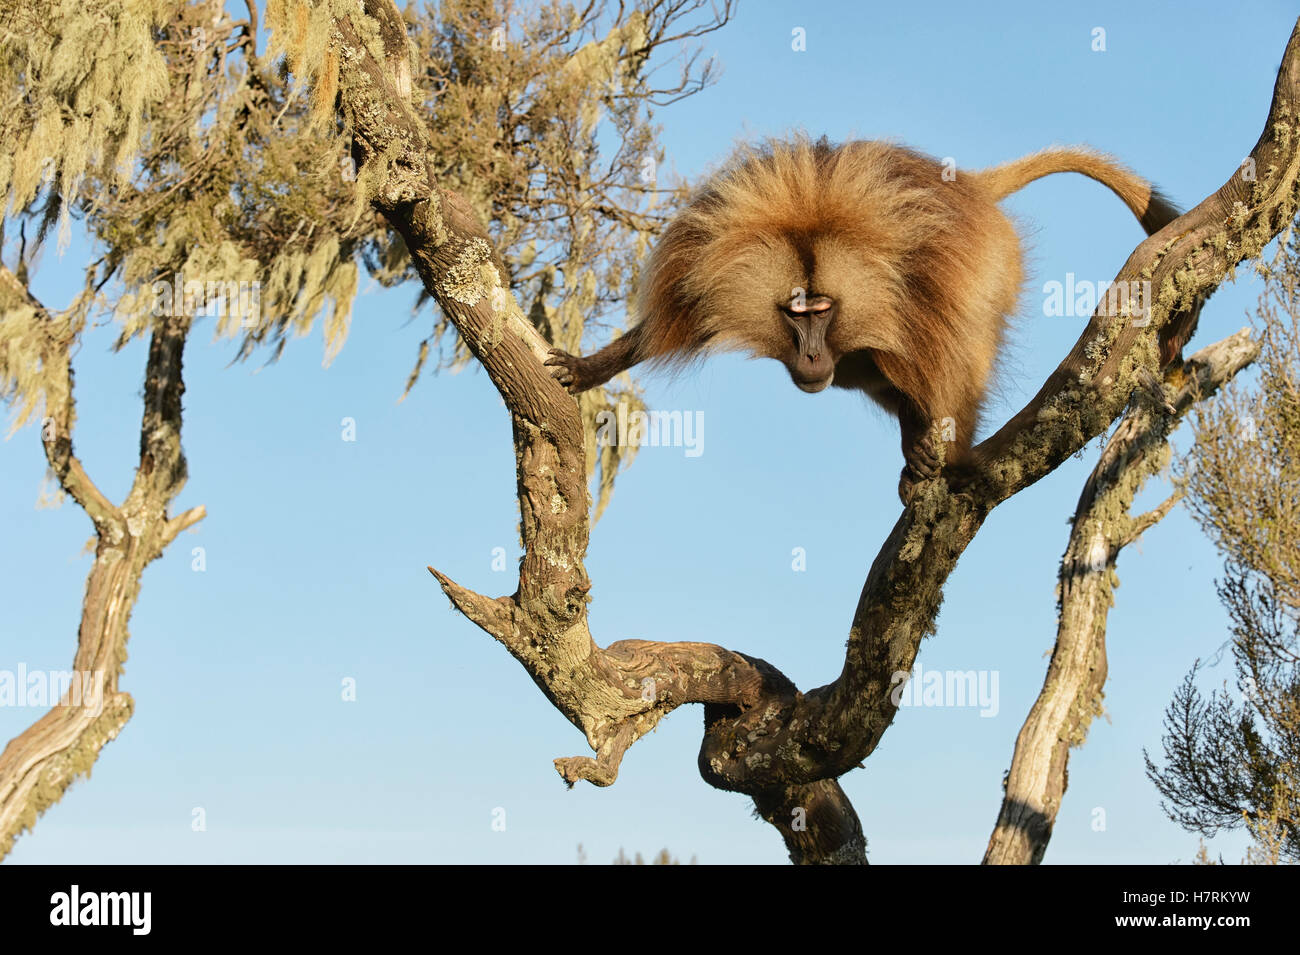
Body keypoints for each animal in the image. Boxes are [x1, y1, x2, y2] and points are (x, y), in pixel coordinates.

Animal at [543, 141, 1185, 504]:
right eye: (794, 312)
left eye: (822, 311)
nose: (810, 358)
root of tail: (971, 186)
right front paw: (585, 368)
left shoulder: (933, 288)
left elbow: (956, 356)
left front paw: (949, 457)